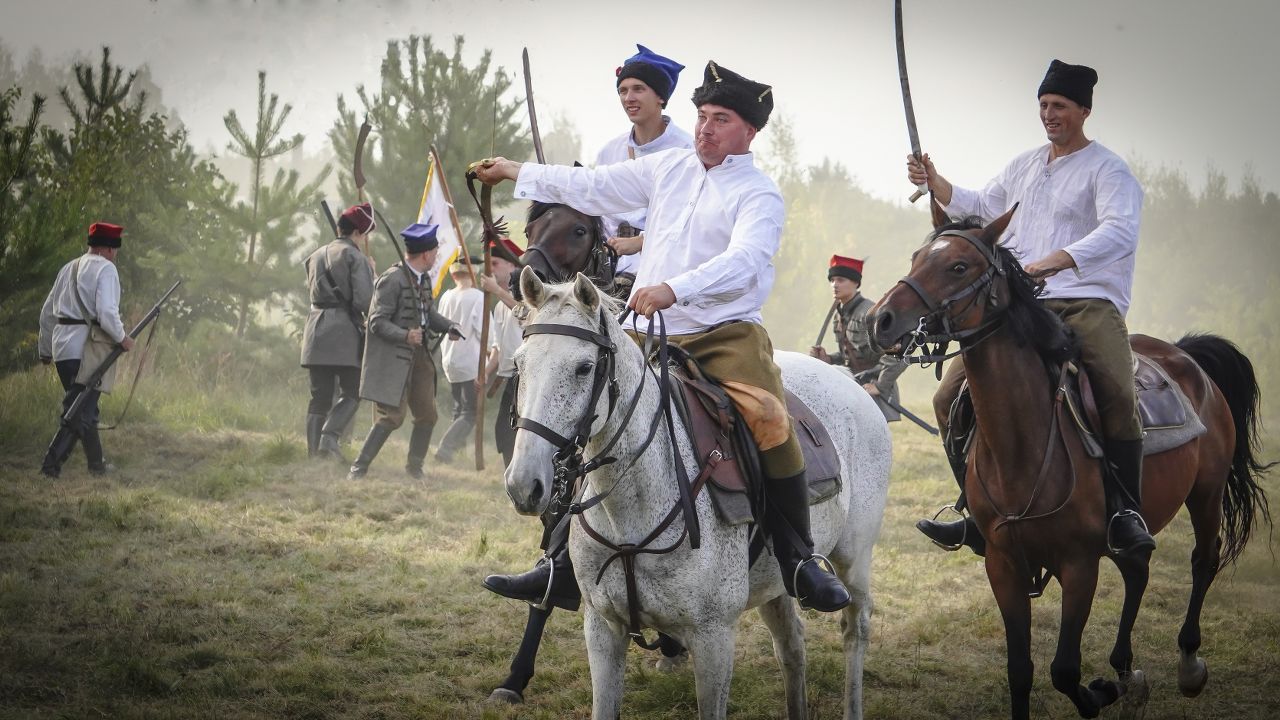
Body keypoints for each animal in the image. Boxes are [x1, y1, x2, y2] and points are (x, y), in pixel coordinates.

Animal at [503, 269, 893, 719]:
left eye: (584, 368)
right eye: (519, 364)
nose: (523, 483)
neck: (633, 511)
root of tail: (849, 382)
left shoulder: (713, 638)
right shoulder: (603, 629)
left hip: (854, 558)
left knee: (855, 627)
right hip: (775, 583)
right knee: (791, 646)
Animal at [867, 203, 1272, 720]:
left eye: (958, 266)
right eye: (918, 257)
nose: (881, 320)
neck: (1023, 445)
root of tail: (1187, 357)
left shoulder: (1080, 566)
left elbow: (1064, 669)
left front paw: (1100, 692)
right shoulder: (1002, 565)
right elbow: (1020, 672)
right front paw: (1113, 684)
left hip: (1207, 492)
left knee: (1203, 560)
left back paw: (1187, 664)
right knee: (1138, 568)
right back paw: (1127, 672)